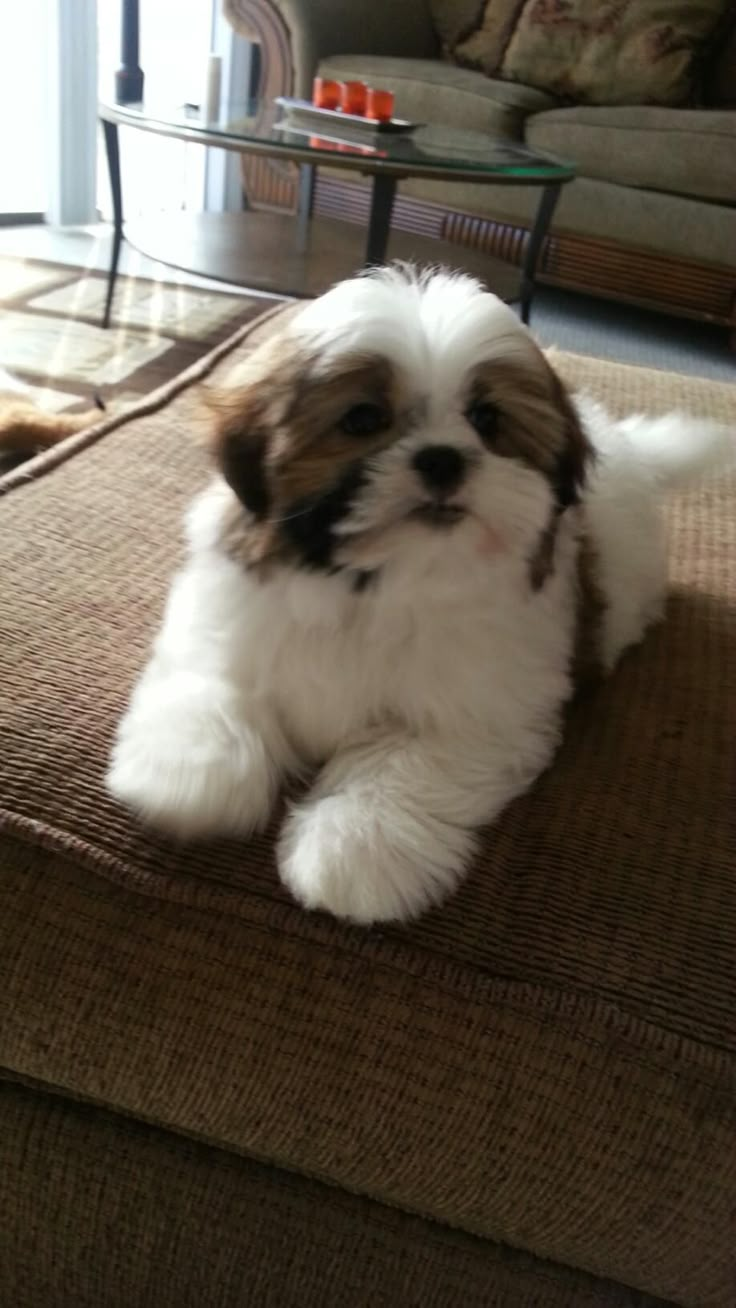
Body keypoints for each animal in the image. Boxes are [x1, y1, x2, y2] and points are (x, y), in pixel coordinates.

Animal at [106, 262, 732, 920]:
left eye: (487, 420)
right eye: (361, 419)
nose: (442, 458)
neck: (380, 581)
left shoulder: (479, 711)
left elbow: (406, 764)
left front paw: (356, 852)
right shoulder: (221, 623)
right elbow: (212, 690)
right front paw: (190, 780)